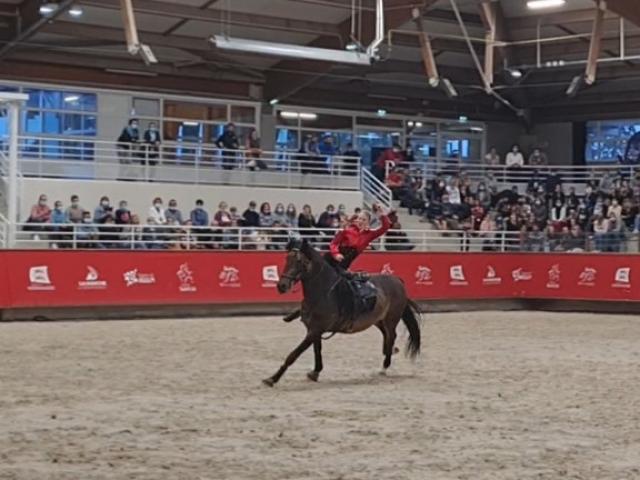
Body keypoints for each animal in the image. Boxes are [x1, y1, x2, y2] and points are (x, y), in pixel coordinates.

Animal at [262, 238, 422, 388]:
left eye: (299, 261)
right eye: (287, 259)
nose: (282, 286)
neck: (324, 293)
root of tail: (397, 280)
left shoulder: (315, 330)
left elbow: (293, 355)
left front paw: (272, 379)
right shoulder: (315, 330)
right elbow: (317, 351)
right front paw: (315, 372)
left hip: (391, 319)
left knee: (391, 335)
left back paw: (384, 367)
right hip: (378, 320)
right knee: (387, 336)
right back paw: (390, 352)